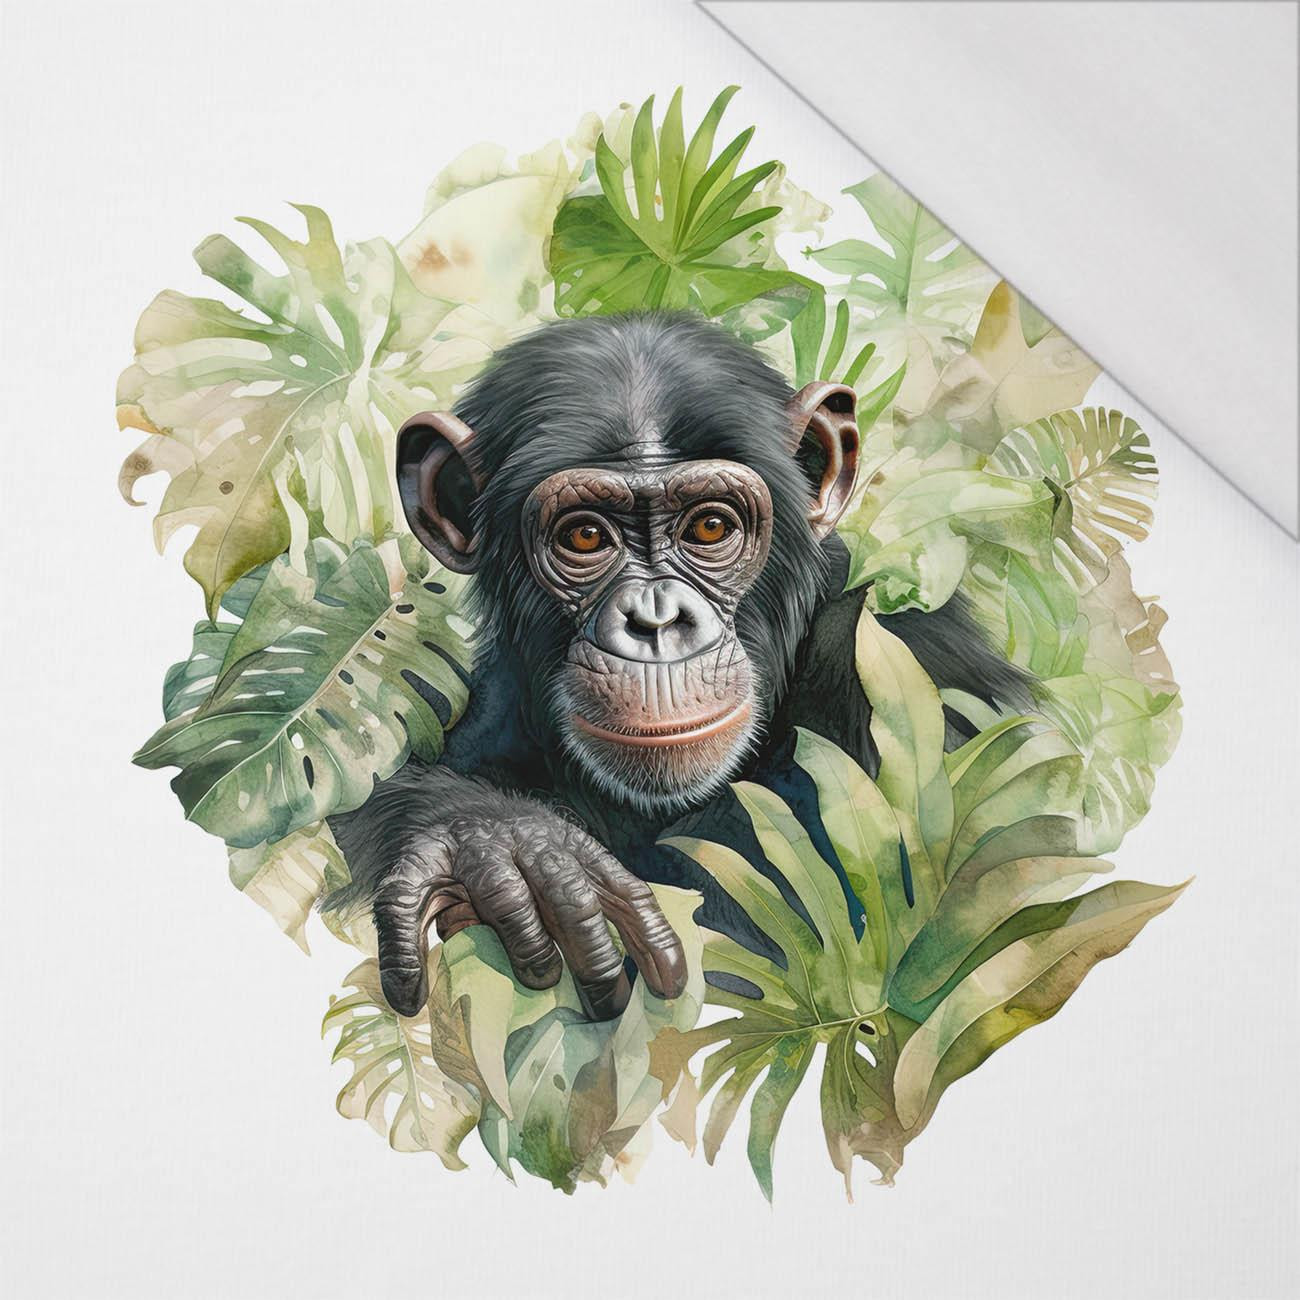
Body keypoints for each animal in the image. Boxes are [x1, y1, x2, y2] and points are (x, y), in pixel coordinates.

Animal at [326, 311, 1030, 1021]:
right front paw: (508, 847)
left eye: (711, 527)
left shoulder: (918, 674)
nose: (656, 619)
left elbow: (742, 936)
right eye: (585, 535)